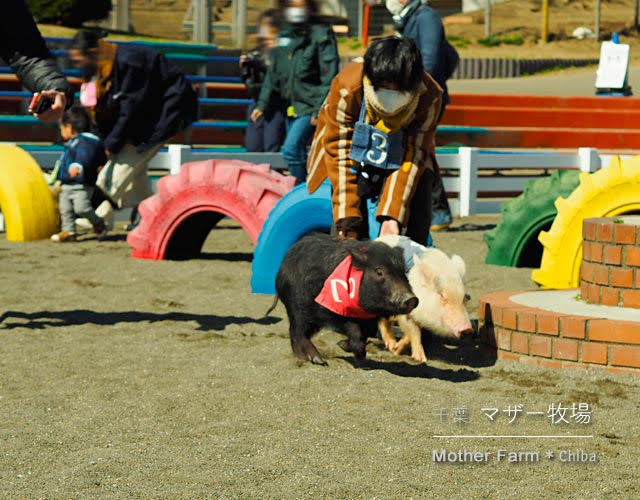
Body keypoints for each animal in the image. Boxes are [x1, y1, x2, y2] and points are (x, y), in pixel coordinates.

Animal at [268, 232, 418, 366]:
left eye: (403, 272)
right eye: (379, 271)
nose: (412, 299)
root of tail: (281, 268)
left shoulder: (369, 319)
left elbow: (365, 334)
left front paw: (356, 354)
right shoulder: (329, 310)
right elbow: (354, 330)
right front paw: (346, 349)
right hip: (297, 307)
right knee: (297, 331)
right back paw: (316, 360)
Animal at [378, 234, 472, 364]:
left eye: (463, 298)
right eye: (442, 295)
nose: (467, 329)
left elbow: (412, 334)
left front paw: (397, 350)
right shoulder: (407, 311)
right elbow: (415, 332)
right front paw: (421, 359)